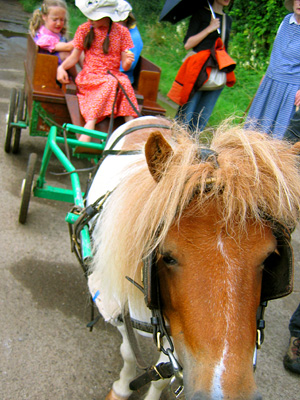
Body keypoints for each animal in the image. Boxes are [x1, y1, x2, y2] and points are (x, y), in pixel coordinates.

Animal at [85, 116, 300, 400]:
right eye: (166, 255)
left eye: (268, 257)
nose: (226, 394)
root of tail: (150, 116)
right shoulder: (120, 311)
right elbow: (129, 353)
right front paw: (120, 389)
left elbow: (163, 375)